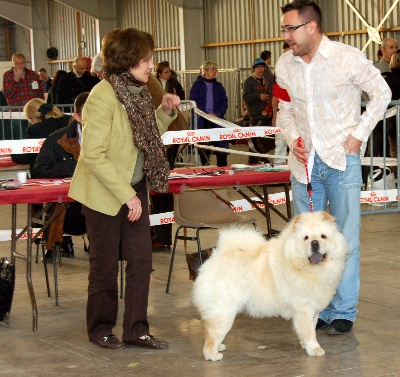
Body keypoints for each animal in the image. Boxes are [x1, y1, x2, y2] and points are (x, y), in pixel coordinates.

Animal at [192, 210, 348, 360]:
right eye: (306, 238)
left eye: (323, 236)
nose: (315, 243)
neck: (304, 266)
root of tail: (216, 256)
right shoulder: (304, 308)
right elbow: (309, 332)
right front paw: (314, 349)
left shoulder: (313, 308)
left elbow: (311, 327)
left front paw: (305, 345)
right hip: (224, 310)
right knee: (211, 334)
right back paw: (212, 355)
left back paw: (219, 347)